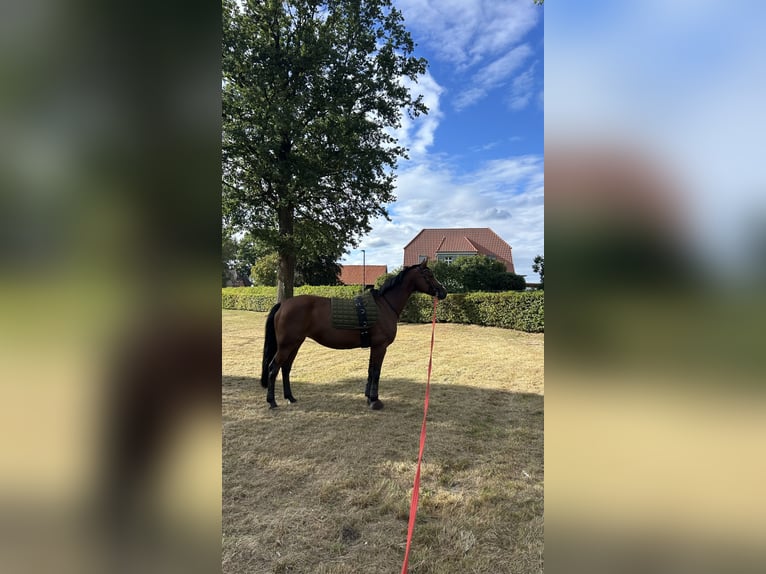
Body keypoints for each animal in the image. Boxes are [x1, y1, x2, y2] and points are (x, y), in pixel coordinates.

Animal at [260, 259, 447, 410]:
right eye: (429, 275)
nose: (443, 292)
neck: (384, 305)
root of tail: (283, 304)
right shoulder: (380, 347)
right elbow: (376, 372)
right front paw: (375, 400)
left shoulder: (374, 347)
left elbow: (371, 370)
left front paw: (368, 397)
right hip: (287, 345)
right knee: (273, 368)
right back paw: (272, 402)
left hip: (295, 344)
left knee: (286, 368)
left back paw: (290, 397)